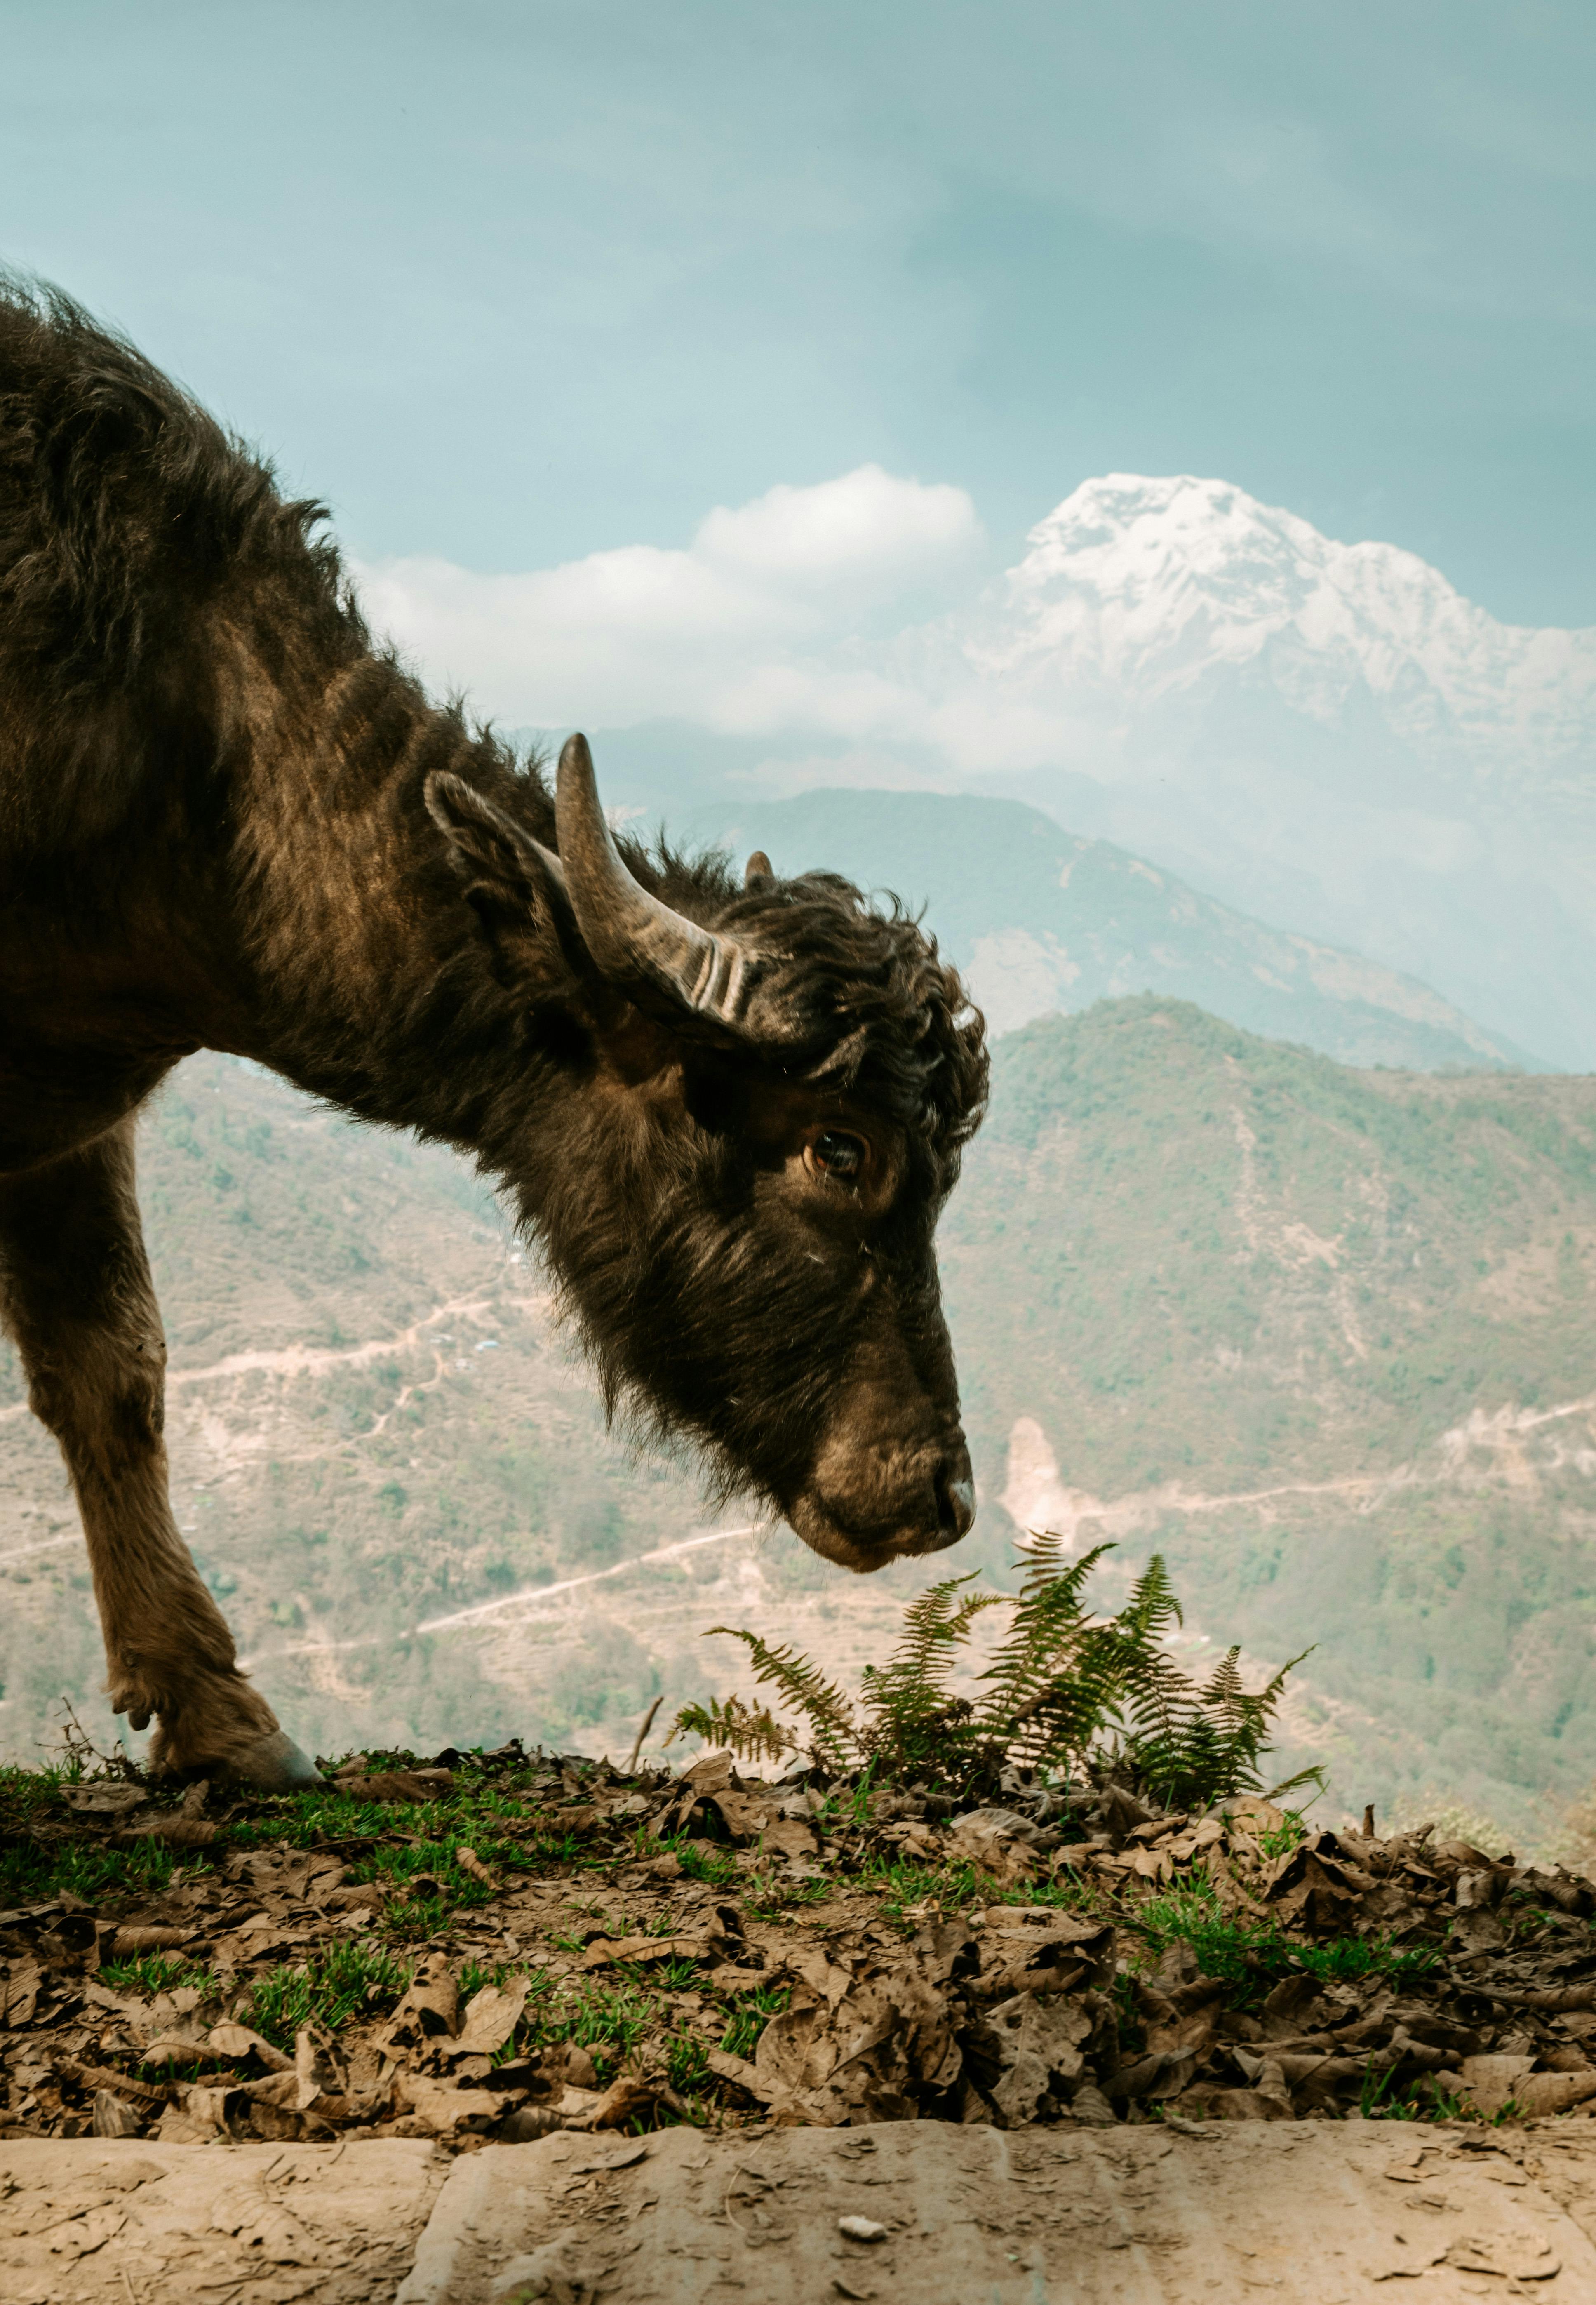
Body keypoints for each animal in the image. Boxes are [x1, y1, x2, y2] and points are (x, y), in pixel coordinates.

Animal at [0, 282, 988, 1787]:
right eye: (838, 1146)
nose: (942, 1491)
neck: (196, 761)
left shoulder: (72, 1116)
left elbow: (114, 1371)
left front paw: (218, 1712)